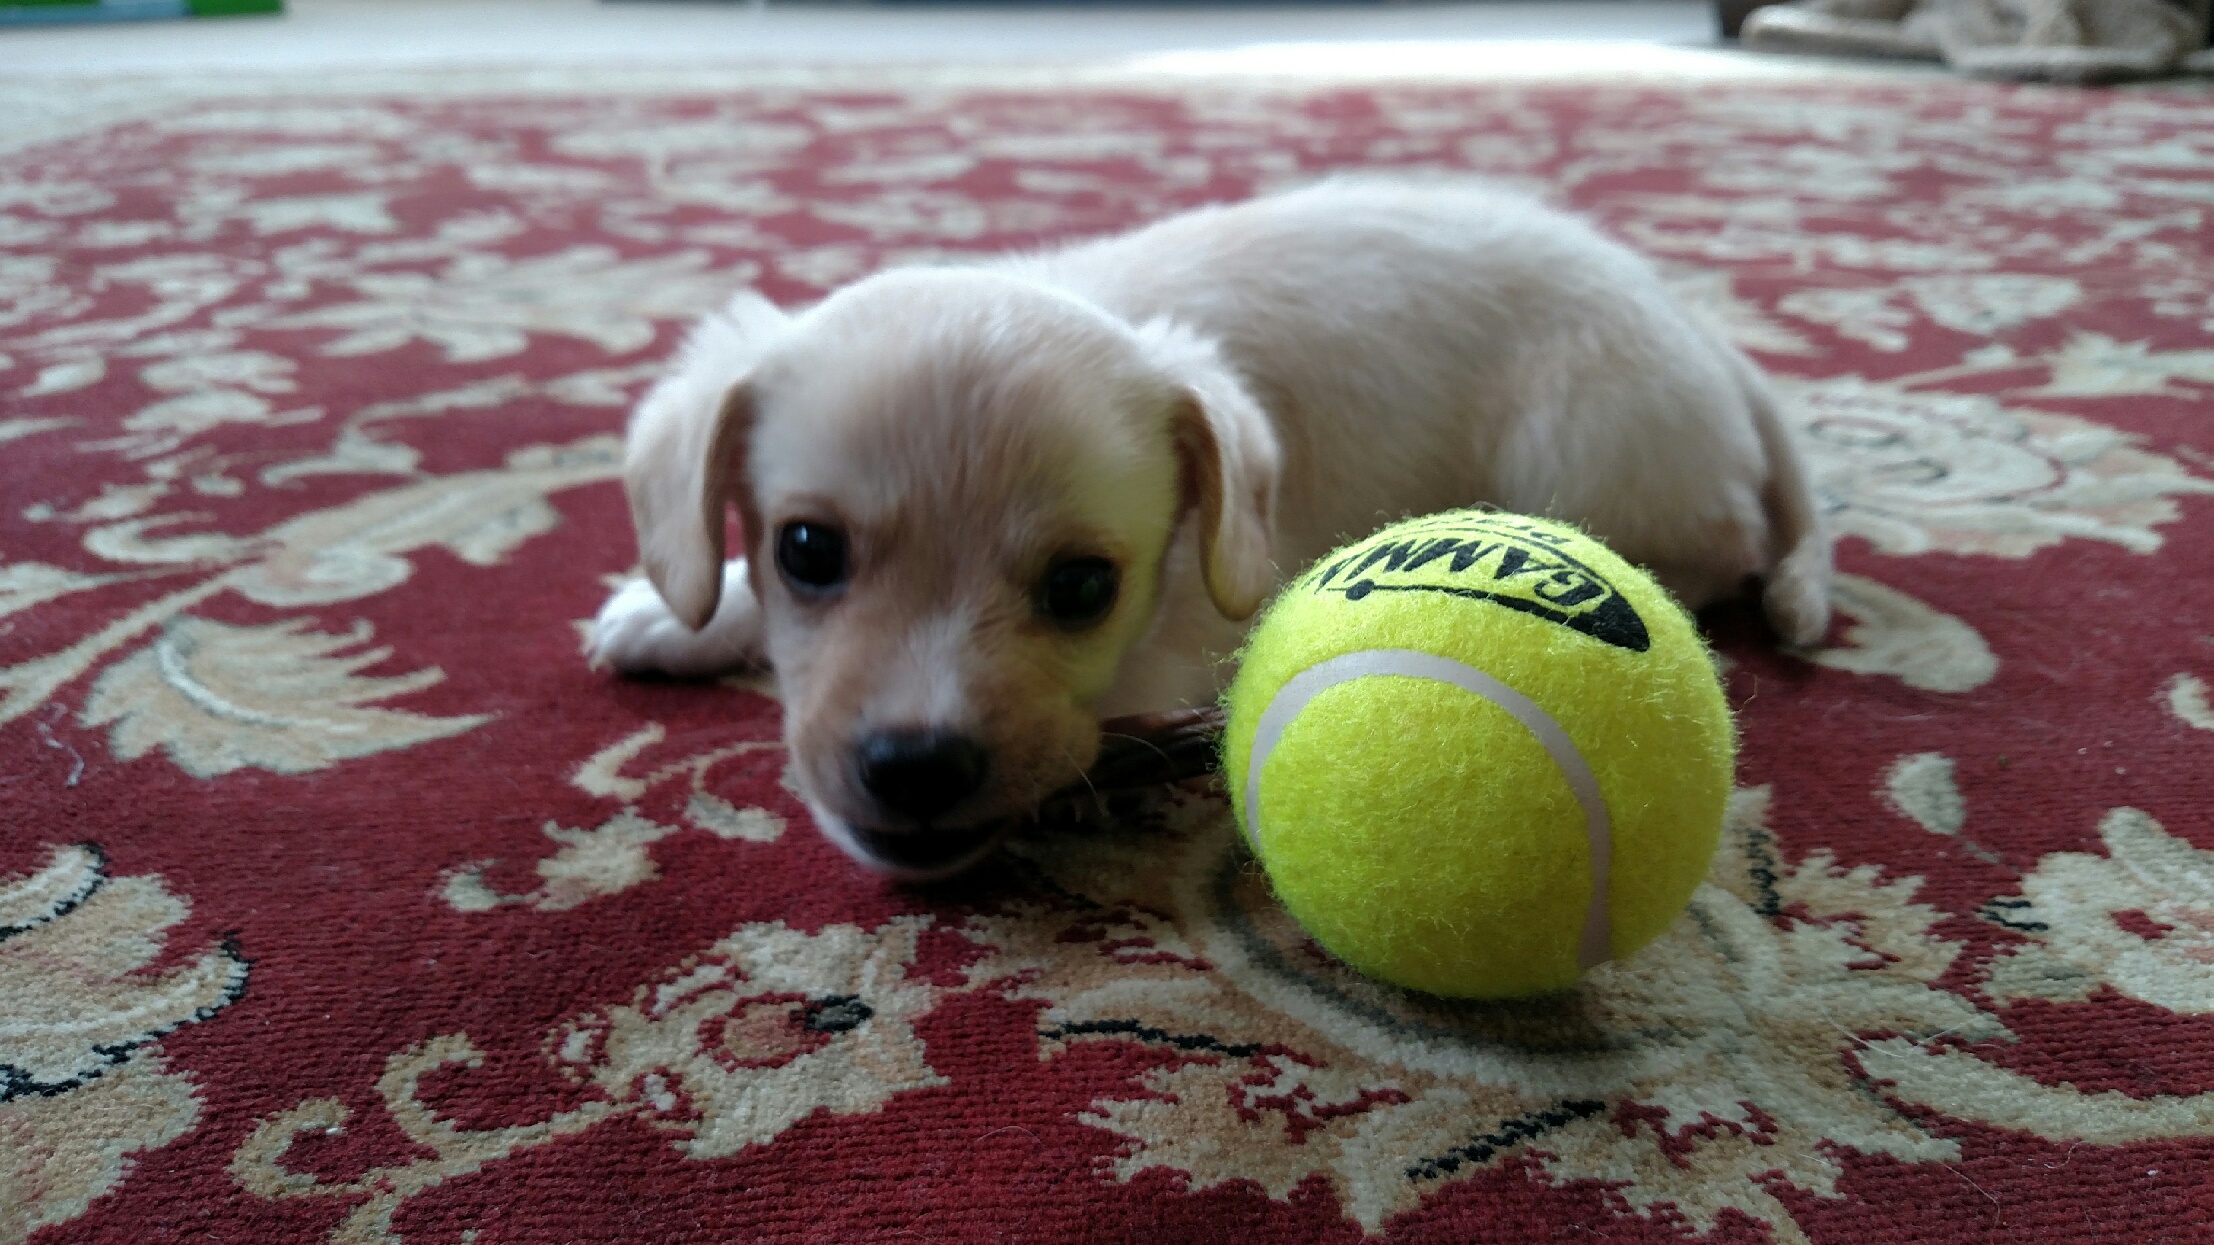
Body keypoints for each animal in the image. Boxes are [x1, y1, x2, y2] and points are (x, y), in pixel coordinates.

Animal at [589, 178, 1832, 880]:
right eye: (805, 550)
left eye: (1083, 588)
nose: (916, 766)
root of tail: (1702, 334)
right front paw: (675, 608)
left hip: (1579, 445)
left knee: (1715, 555)